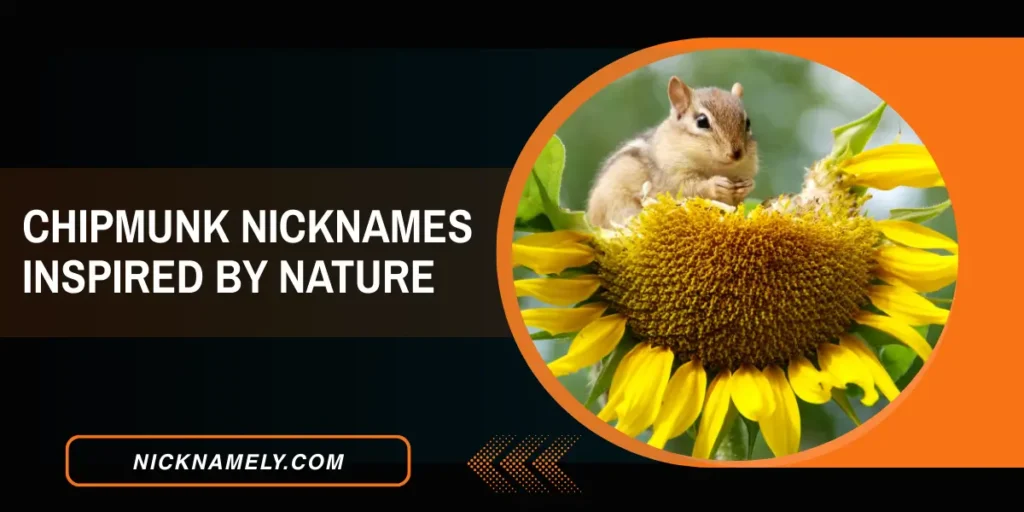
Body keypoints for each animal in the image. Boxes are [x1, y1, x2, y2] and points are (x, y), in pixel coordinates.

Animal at [585, 75, 760, 229]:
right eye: (702, 121)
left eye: (748, 123)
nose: (736, 154)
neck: (718, 167)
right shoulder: (673, 175)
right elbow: (690, 188)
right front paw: (715, 184)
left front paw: (747, 185)